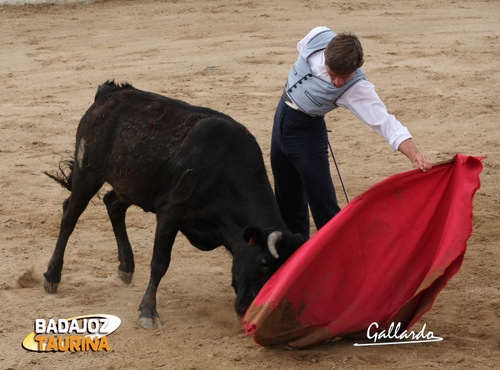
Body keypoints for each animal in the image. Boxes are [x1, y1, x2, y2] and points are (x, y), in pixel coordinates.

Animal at [43, 82, 306, 328]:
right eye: (264, 264)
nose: (249, 310)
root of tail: (110, 93)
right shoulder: (170, 212)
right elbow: (160, 262)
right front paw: (148, 311)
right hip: (88, 173)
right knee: (70, 215)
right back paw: (52, 276)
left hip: (130, 184)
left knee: (113, 204)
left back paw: (126, 266)